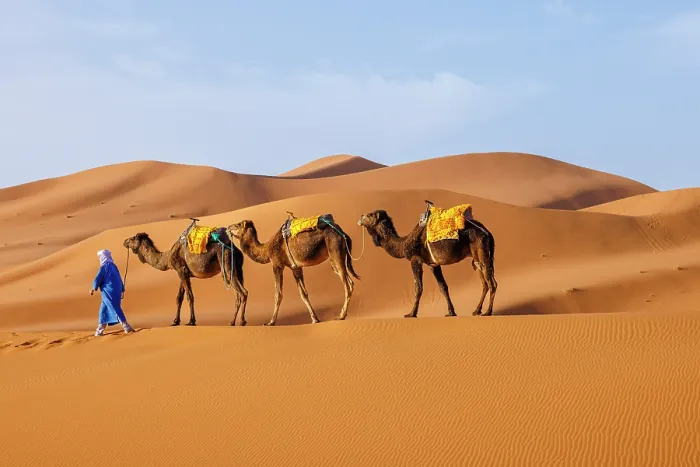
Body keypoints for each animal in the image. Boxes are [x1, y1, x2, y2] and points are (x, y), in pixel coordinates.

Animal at [227, 213, 360, 326]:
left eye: (237, 225)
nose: (228, 228)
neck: (266, 249)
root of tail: (342, 233)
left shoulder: (277, 264)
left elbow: (278, 294)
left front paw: (270, 322)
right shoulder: (295, 268)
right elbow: (303, 294)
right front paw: (315, 319)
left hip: (335, 249)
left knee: (348, 285)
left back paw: (341, 315)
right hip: (335, 258)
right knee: (348, 280)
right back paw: (342, 314)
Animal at [357, 201, 497, 318]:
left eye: (369, 215)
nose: (360, 218)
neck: (403, 244)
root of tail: (487, 232)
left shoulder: (415, 260)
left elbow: (418, 287)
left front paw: (411, 313)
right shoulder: (433, 264)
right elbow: (443, 287)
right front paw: (451, 312)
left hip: (480, 248)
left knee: (491, 282)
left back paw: (488, 312)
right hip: (476, 256)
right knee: (484, 281)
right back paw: (477, 310)